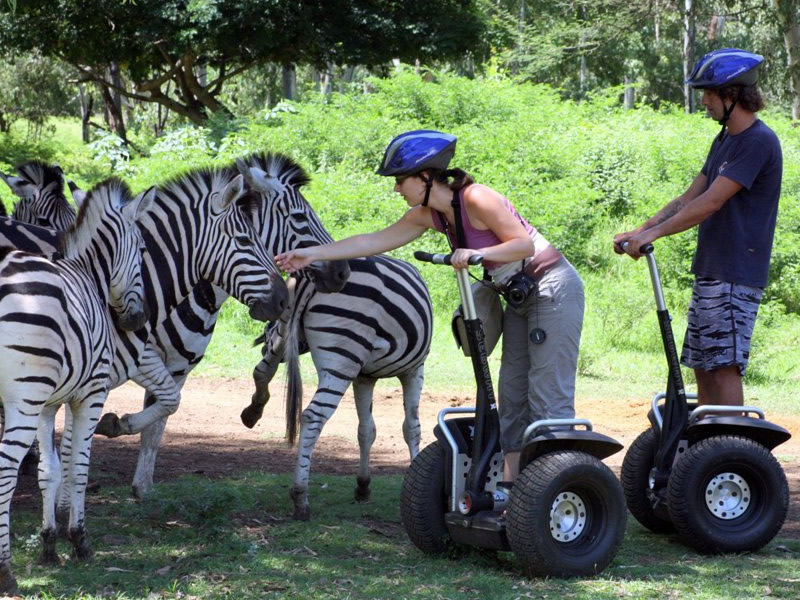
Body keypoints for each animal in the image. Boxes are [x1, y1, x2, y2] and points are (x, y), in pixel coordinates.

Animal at [0, 178, 153, 596]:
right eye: (143, 250)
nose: (137, 320)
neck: (90, 275)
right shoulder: (91, 394)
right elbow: (78, 466)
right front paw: (79, 540)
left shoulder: (49, 403)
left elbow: (49, 470)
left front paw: (49, 544)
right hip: (22, 400)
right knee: (5, 469)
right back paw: (5, 571)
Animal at [244, 253, 432, 520]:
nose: (261, 344)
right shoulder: (414, 370)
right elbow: (412, 427)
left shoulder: (364, 377)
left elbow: (366, 430)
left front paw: (363, 485)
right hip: (341, 357)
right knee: (312, 416)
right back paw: (300, 496)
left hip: (287, 332)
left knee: (261, 372)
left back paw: (252, 412)